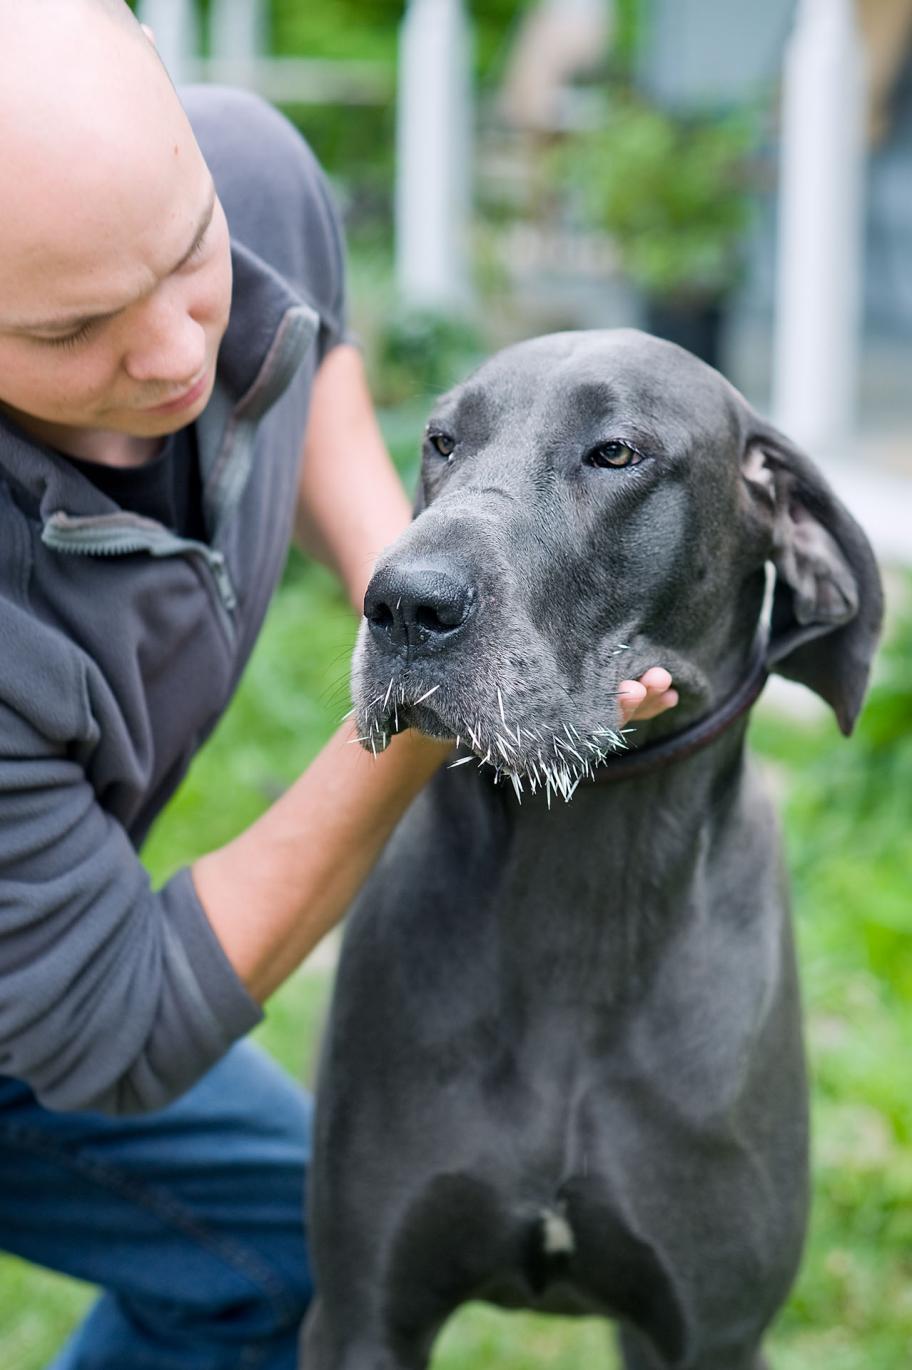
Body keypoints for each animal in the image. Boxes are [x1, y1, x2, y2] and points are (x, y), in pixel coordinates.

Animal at [299, 331, 881, 1370]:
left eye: (615, 453)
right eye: (443, 441)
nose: (402, 603)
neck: (584, 883)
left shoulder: (714, 1332)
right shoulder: (363, 1316)